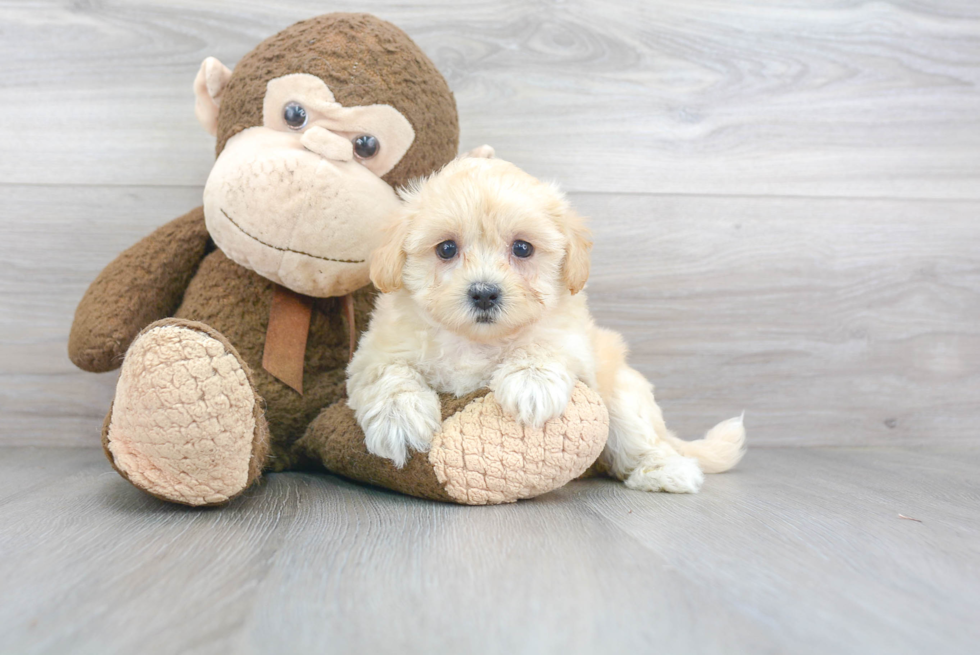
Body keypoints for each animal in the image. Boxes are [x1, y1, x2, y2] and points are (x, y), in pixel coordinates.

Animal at [348, 158, 748, 492]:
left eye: (522, 248)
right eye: (446, 249)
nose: (484, 293)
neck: (476, 340)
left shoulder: (571, 340)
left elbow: (542, 344)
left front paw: (531, 384)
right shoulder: (374, 352)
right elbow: (388, 373)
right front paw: (399, 419)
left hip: (622, 393)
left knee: (640, 439)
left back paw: (666, 470)